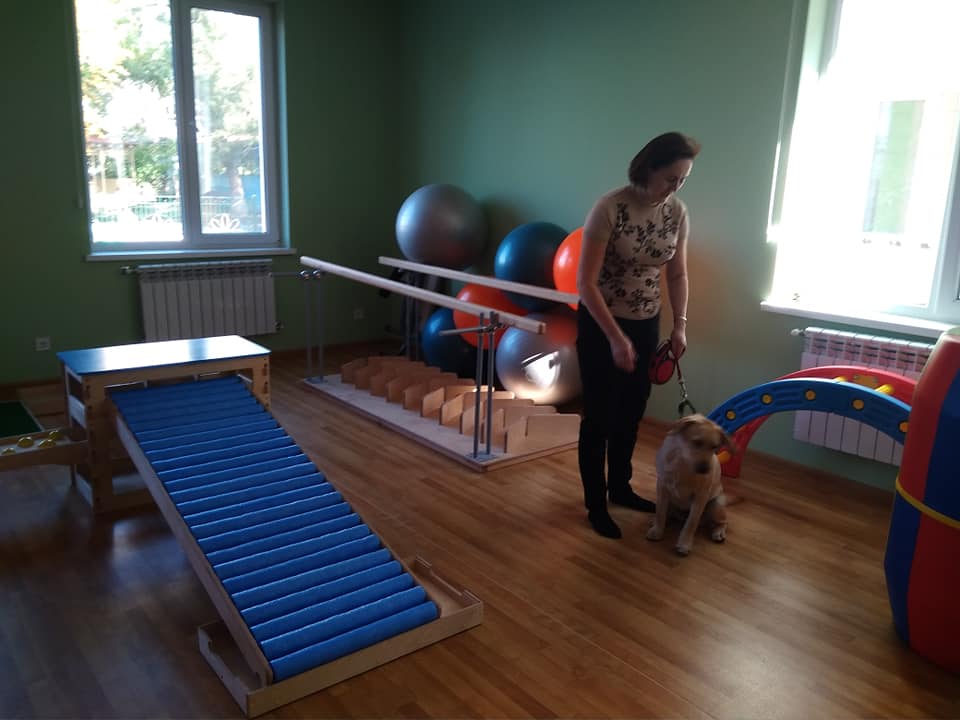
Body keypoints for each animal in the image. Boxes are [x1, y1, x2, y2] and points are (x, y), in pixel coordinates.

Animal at [646, 414, 736, 556]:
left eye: (714, 447)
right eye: (697, 442)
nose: (705, 469)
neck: (683, 463)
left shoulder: (700, 497)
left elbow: (691, 523)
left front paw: (684, 544)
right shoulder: (662, 487)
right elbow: (660, 511)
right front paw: (657, 530)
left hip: (716, 505)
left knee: (723, 522)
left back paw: (719, 532)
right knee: (667, 513)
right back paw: (657, 520)